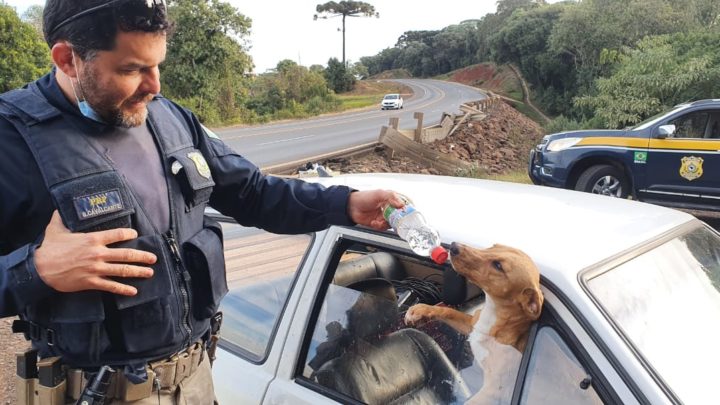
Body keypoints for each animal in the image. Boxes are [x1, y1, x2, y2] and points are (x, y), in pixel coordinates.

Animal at [404, 241, 540, 402]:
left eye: (498, 266)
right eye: (493, 246)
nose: (453, 246)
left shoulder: (492, 390)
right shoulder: (471, 326)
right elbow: (448, 311)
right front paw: (420, 310)